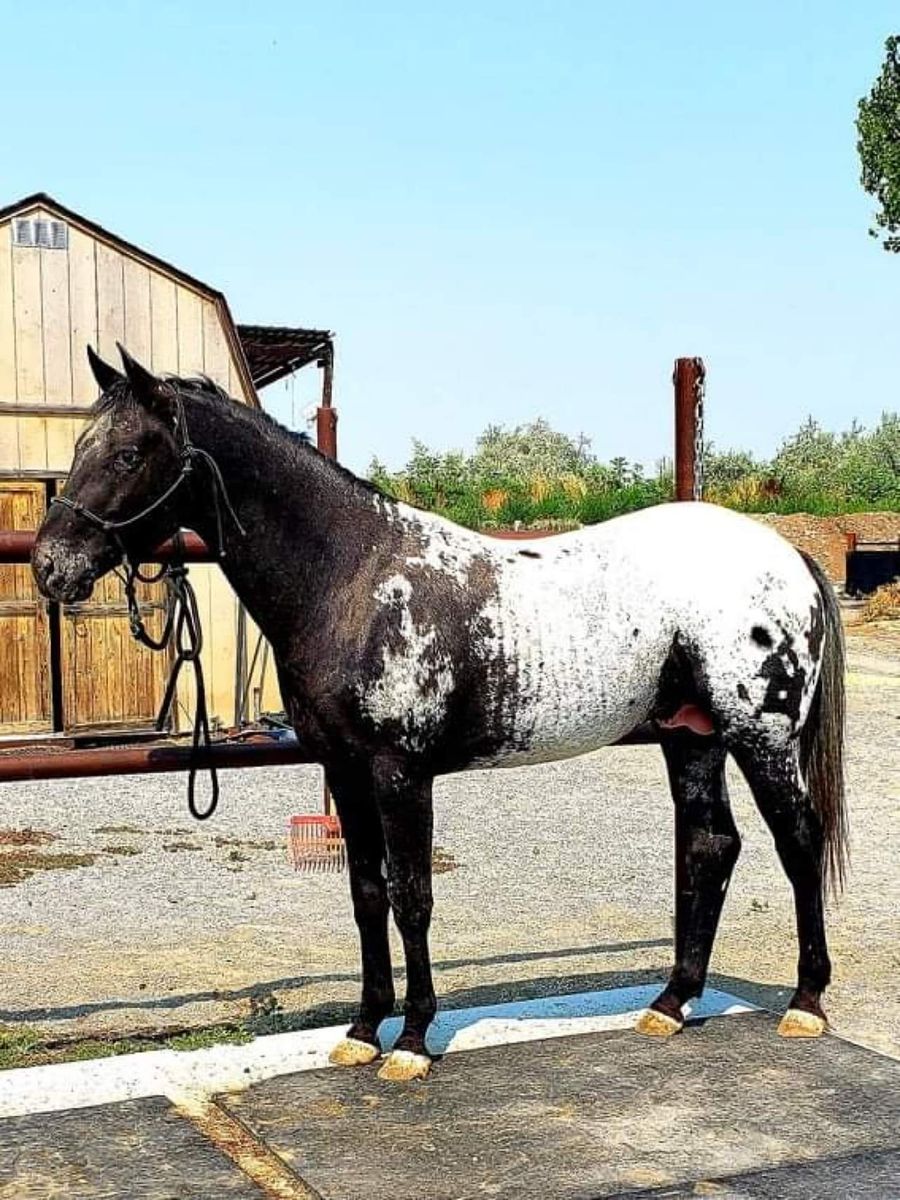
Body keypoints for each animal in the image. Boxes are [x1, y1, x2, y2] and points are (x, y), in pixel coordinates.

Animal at [32, 346, 847, 1082]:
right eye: (79, 446)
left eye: (130, 453)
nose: (49, 567)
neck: (352, 579)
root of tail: (788, 557)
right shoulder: (345, 770)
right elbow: (366, 896)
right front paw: (364, 1031)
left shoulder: (401, 772)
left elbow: (412, 897)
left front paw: (414, 1042)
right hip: (690, 736)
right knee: (712, 845)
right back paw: (671, 1004)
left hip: (761, 735)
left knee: (798, 841)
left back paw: (806, 1003)